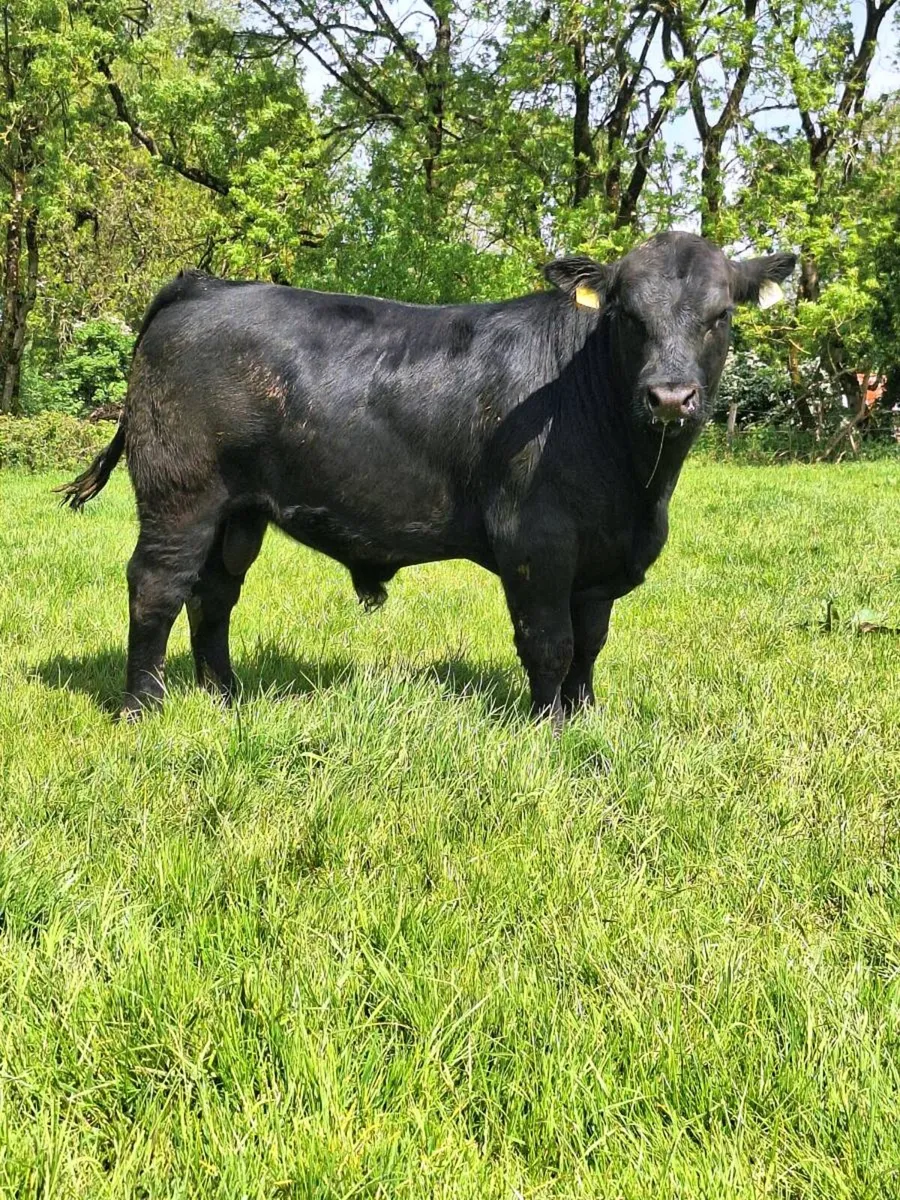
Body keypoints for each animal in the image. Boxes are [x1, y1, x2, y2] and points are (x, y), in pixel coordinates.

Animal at [58, 232, 795, 726]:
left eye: (721, 315)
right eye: (626, 315)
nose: (671, 396)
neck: (638, 486)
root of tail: (207, 285)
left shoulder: (600, 558)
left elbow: (589, 645)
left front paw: (586, 718)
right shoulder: (536, 545)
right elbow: (549, 644)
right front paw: (549, 729)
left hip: (238, 512)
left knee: (213, 594)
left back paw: (226, 695)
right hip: (180, 493)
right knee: (157, 587)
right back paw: (142, 708)